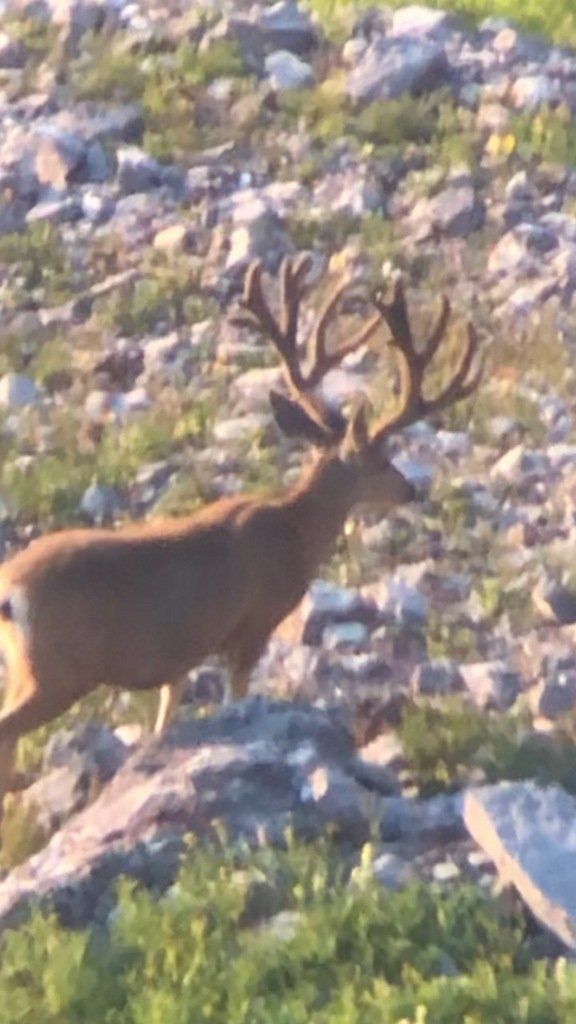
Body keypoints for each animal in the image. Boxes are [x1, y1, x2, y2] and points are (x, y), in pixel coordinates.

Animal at [0, 254, 481, 808]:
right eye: (383, 460)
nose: (411, 490)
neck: (294, 532)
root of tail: (10, 591)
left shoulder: (181, 658)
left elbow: (166, 714)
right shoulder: (254, 624)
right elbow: (236, 698)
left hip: (24, 669)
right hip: (57, 671)